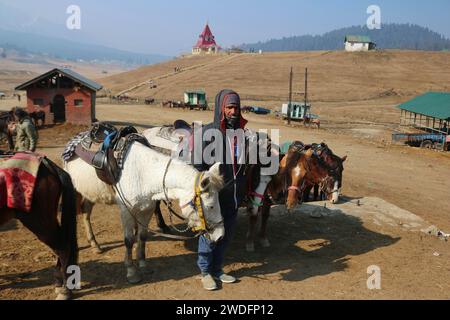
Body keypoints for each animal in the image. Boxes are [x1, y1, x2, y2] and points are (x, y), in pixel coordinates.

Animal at [63, 140, 225, 282]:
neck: (144, 174)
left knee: (86, 213)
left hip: (89, 193)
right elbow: (128, 240)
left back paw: (95, 245)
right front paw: (131, 272)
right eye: (210, 206)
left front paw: (143, 265)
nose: (220, 236)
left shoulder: (147, 210)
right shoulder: (126, 212)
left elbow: (142, 236)